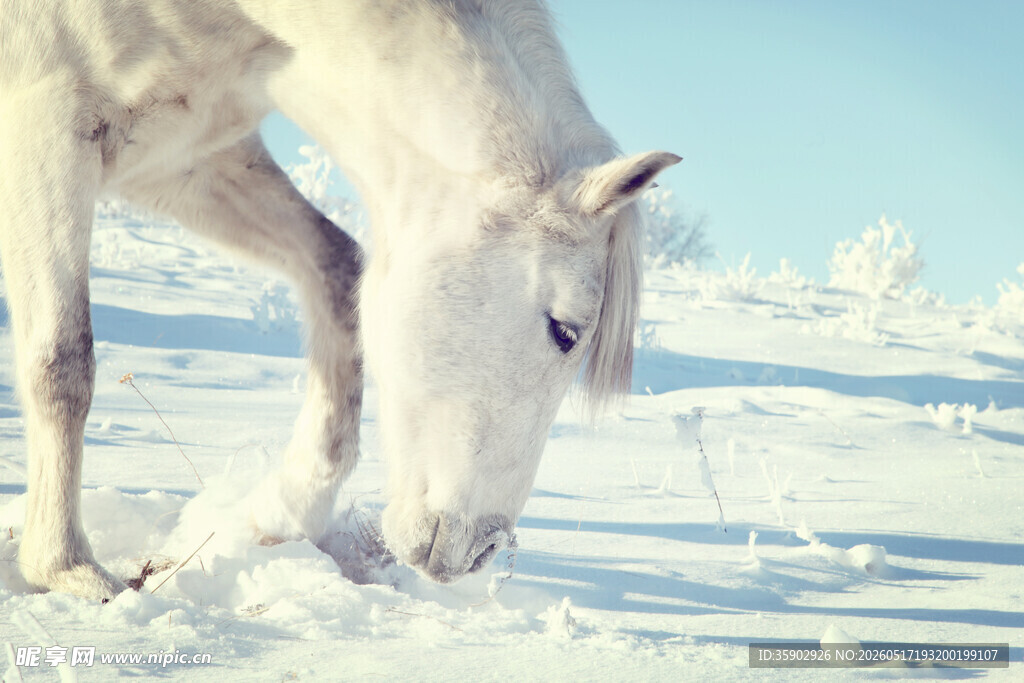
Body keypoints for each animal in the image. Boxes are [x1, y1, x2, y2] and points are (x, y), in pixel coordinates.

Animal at [0, 0, 680, 600]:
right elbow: (62, 362)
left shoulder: (182, 158)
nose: (481, 552)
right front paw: (65, 569)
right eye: (565, 331)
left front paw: (284, 511)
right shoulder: (46, 127)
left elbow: (336, 269)